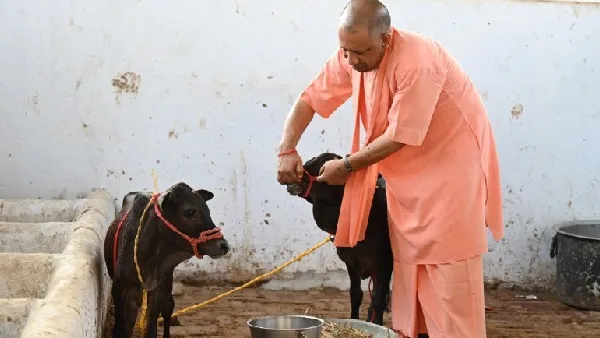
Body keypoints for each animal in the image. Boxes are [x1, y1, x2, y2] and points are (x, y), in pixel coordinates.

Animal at [103, 182, 230, 338]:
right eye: (190, 212)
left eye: (208, 210)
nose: (224, 245)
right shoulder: (121, 290)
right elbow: (123, 329)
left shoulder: (158, 290)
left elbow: (151, 328)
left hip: (167, 284)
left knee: (168, 307)